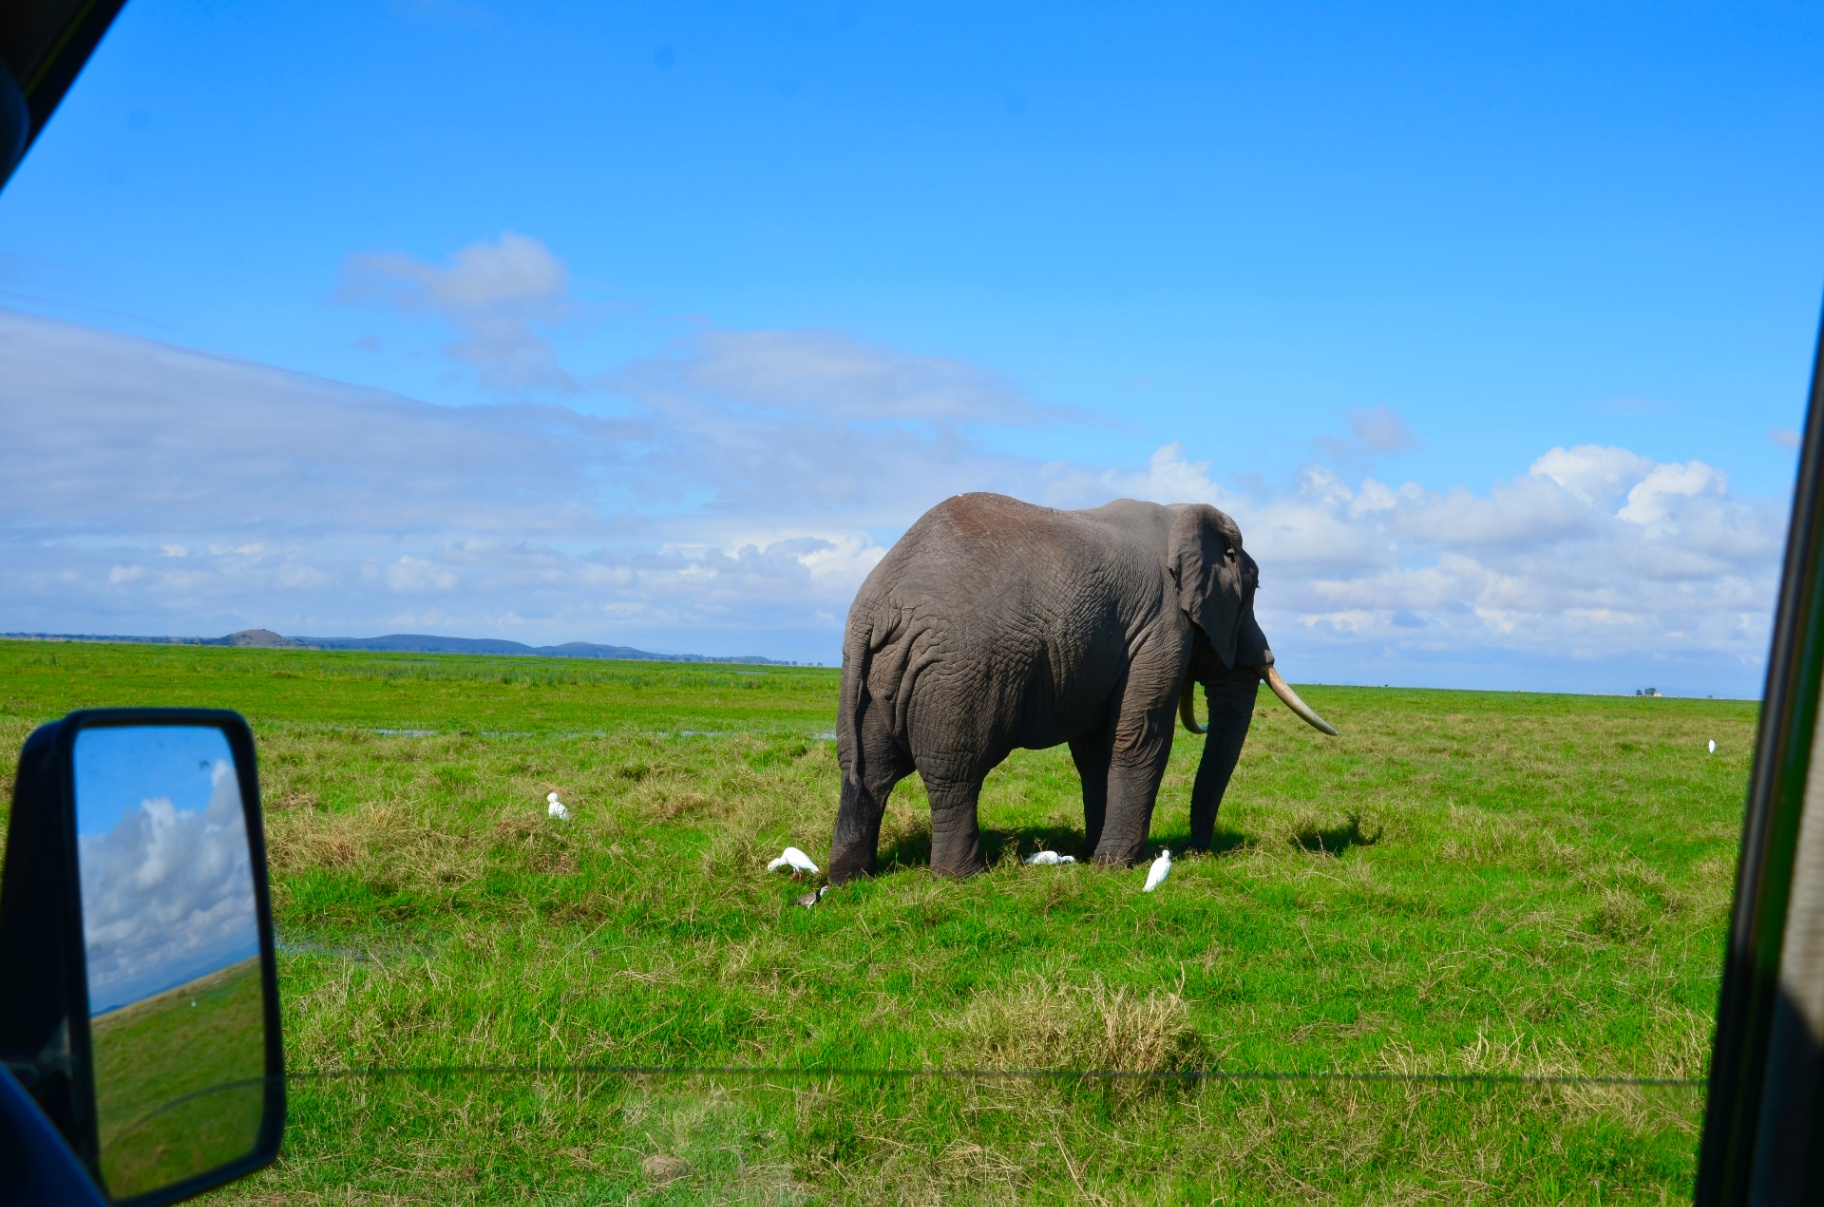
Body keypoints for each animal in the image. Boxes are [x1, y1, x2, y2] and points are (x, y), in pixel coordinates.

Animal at [828, 492, 1336, 883]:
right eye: (1252, 591)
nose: (1198, 849)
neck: (1180, 514)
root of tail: (875, 606)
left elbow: (1096, 749)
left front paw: (1096, 855)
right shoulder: (1161, 624)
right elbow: (1141, 735)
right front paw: (1117, 865)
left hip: (877, 674)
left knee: (868, 770)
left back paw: (851, 879)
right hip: (959, 673)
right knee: (956, 773)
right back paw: (964, 877)